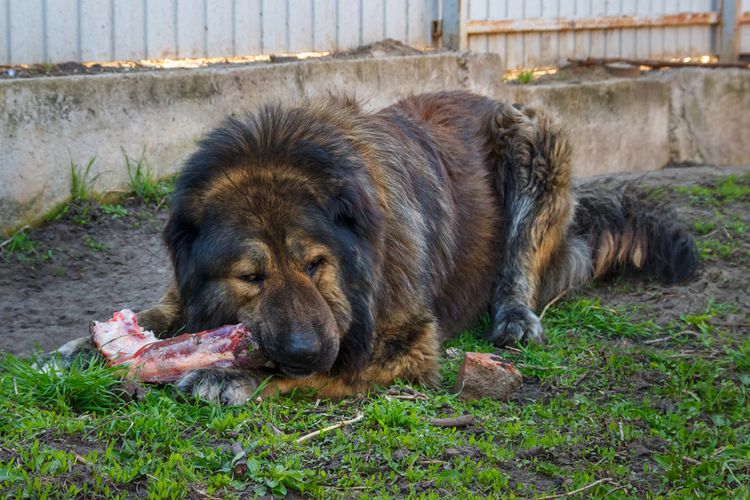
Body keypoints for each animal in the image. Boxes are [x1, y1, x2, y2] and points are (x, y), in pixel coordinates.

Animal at [53, 92, 700, 404]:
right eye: (251, 277)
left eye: (317, 265)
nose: (303, 348)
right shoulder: (180, 288)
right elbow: (157, 313)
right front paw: (83, 348)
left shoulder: (407, 342)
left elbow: (328, 366)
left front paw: (231, 376)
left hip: (533, 141)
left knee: (520, 270)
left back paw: (515, 316)